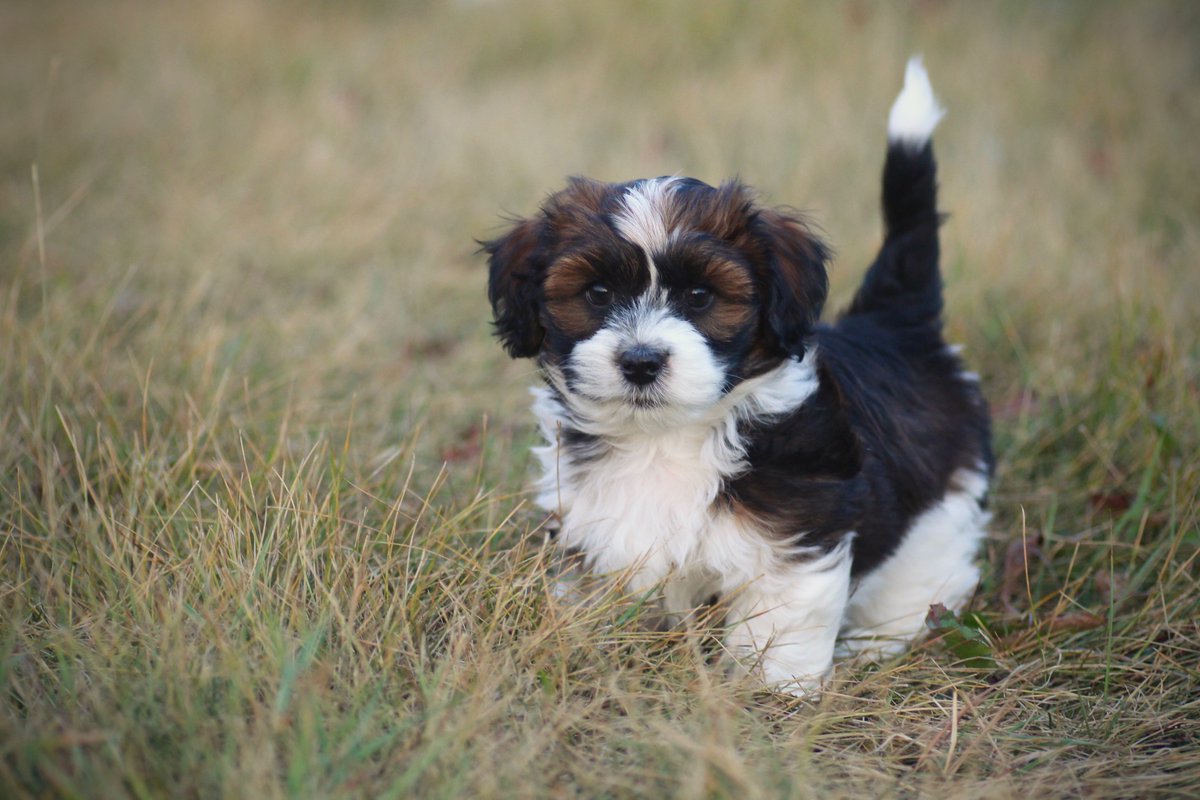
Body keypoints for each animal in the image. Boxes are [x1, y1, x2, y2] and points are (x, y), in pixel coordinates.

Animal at [482, 57, 988, 695]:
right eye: (597, 294)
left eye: (700, 296)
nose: (641, 361)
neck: (664, 440)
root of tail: (893, 324)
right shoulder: (594, 522)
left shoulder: (793, 538)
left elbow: (780, 626)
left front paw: (771, 695)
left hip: (944, 500)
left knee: (923, 571)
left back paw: (881, 642)